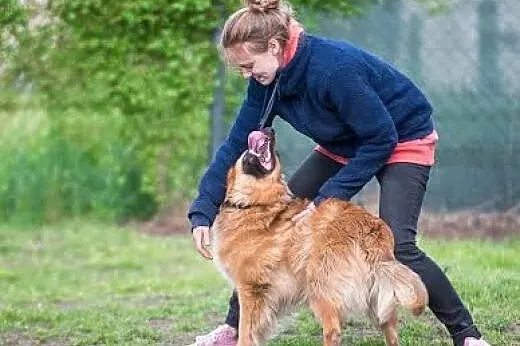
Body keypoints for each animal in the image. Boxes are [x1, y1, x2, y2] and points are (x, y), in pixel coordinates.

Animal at [210, 127, 426, 346]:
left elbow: (246, 332)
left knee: (333, 331)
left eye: (275, 156)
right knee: (390, 326)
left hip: (320, 289)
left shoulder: (251, 289)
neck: (256, 204)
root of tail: (370, 230)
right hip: (376, 298)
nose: (269, 130)